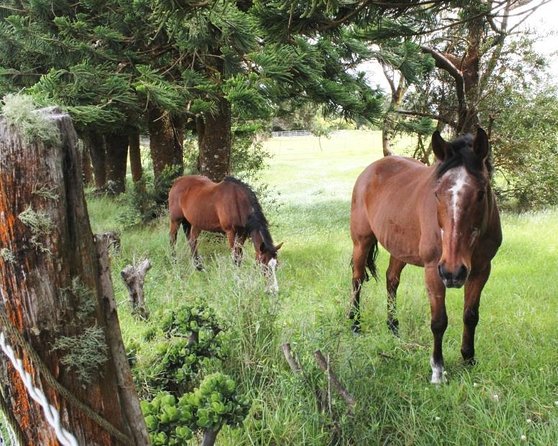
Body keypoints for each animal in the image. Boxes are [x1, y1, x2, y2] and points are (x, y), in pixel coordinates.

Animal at [350, 128, 504, 384]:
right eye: (437, 193)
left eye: (481, 193)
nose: (453, 272)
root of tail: (370, 170)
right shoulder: (434, 270)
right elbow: (439, 321)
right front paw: (438, 370)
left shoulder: (482, 270)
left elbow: (471, 315)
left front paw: (468, 359)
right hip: (361, 241)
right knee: (357, 279)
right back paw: (354, 324)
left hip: (400, 248)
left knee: (391, 280)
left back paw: (393, 327)